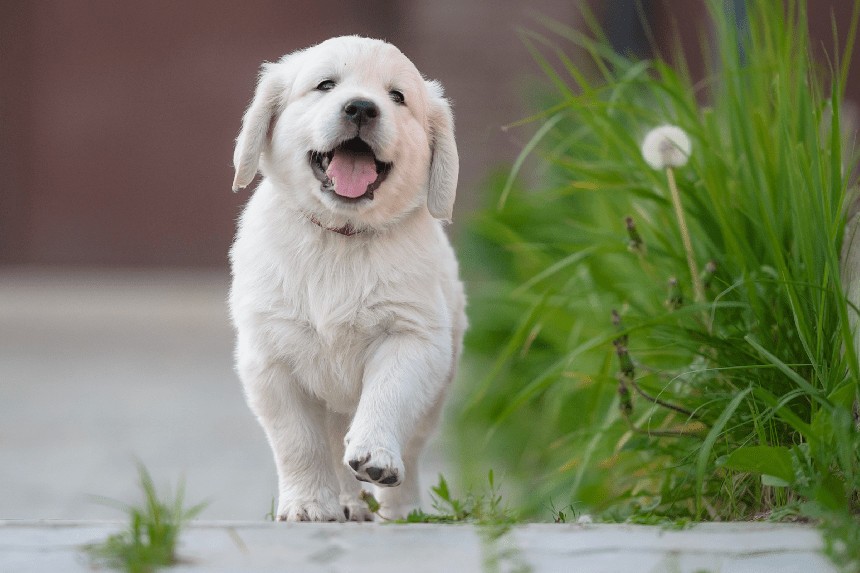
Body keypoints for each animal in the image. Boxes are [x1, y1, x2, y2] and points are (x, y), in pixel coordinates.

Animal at [230, 33, 464, 520]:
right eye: (325, 85)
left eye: (397, 97)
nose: (360, 108)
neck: (340, 237)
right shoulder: (269, 357)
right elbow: (298, 442)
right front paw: (308, 504)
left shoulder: (413, 337)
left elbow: (388, 397)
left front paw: (376, 456)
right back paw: (344, 503)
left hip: (436, 391)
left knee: (410, 449)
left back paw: (400, 508)